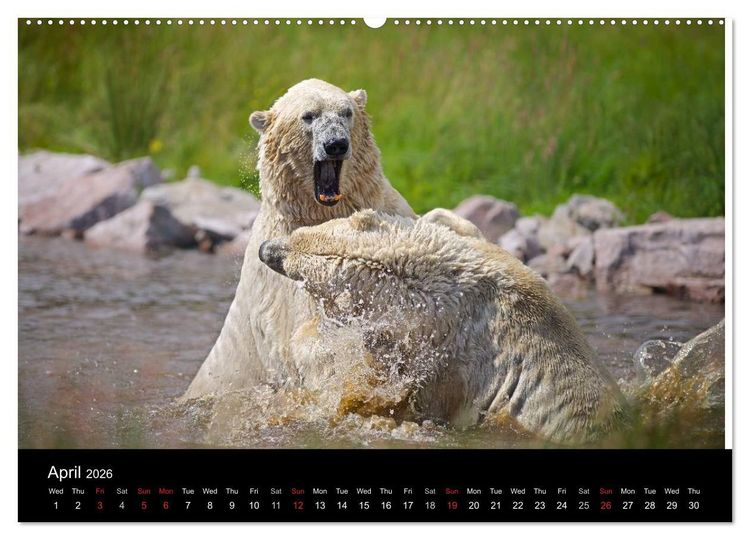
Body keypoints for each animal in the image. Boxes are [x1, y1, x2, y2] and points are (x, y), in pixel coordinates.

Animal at [183, 80, 415, 398]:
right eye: (308, 116)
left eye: (347, 112)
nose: (336, 144)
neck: (323, 212)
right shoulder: (282, 277)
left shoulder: (389, 212)